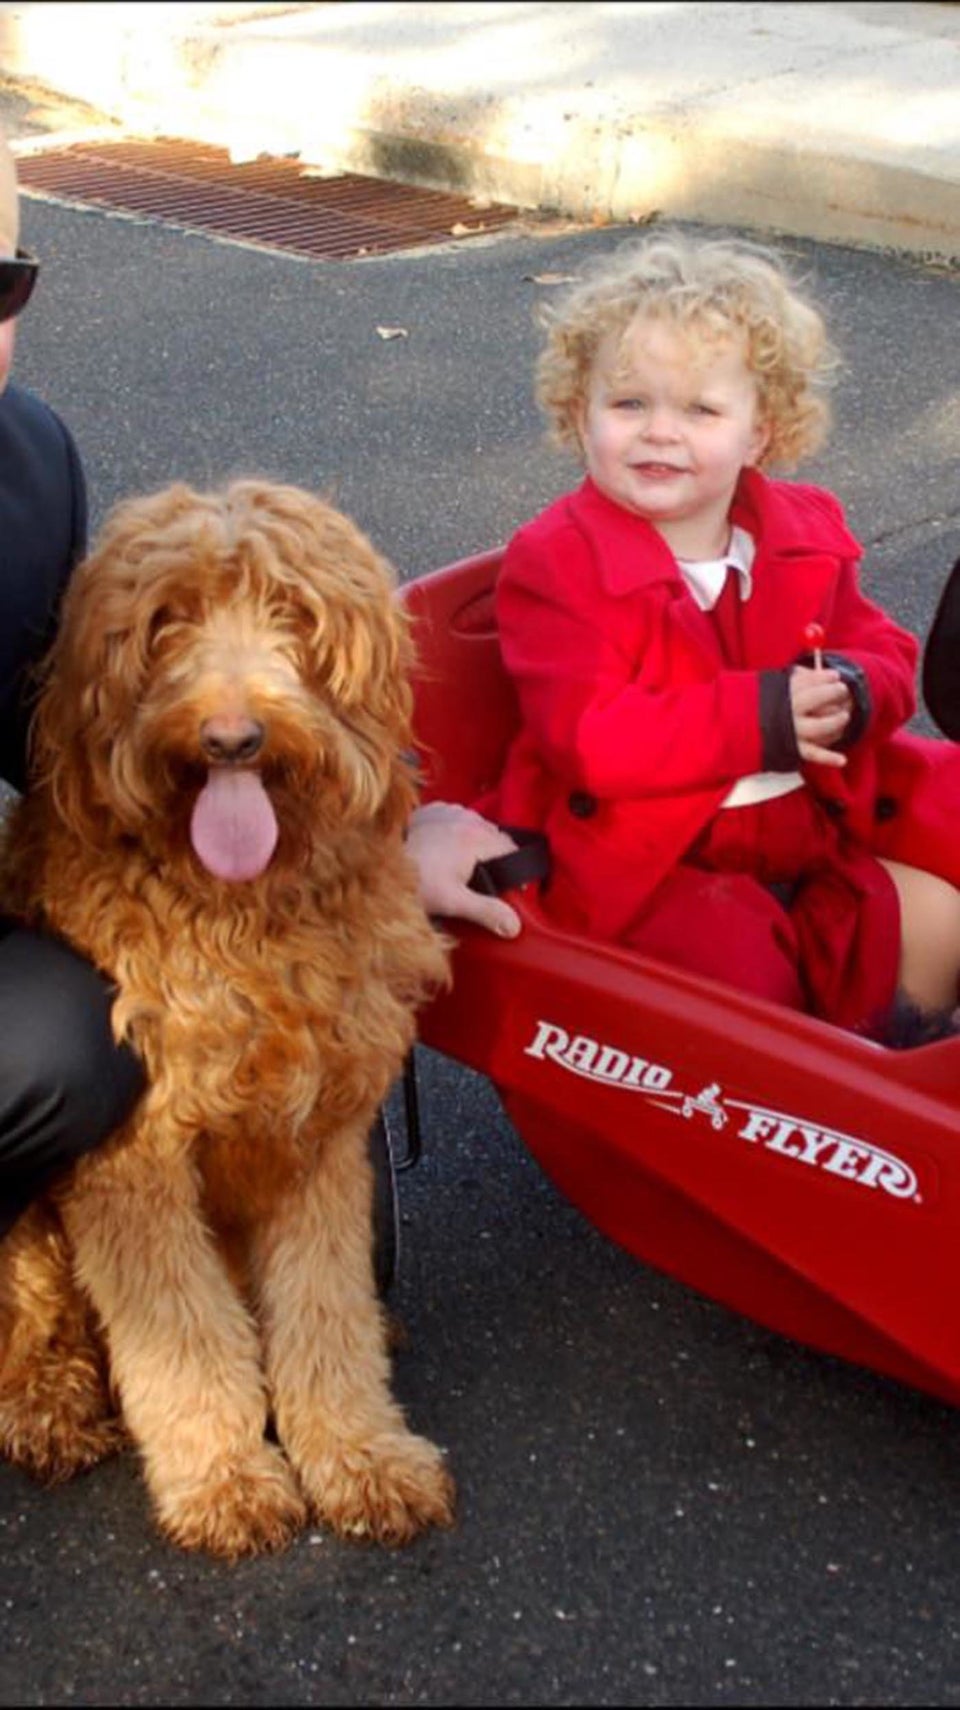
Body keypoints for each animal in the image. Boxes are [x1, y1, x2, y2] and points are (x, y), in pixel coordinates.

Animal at [0, 482, 451, 1566]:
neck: (243, 909)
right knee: (34, 1320)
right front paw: (226, 1480)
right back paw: (52, 1405)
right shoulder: (137, 1161)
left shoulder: (323, 1137)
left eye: (293, 613)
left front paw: (359, 1456)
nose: (234, 740)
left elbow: (324, 1311)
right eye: (166, 622)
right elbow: (184, 1338)